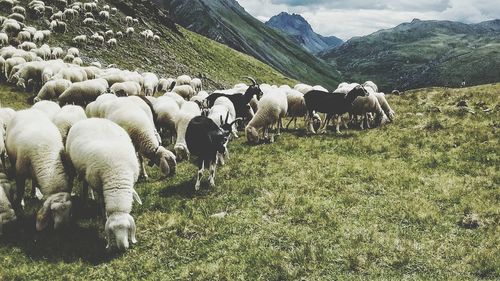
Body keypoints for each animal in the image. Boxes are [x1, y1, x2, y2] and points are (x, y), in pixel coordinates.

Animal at [65, 118, 141, 249]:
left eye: (128, 228)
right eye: (112, 231)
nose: (122, 247)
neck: (117, 174)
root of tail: (90, 119)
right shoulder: (99, 186)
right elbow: (102, 203)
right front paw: (103, 216)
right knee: (84, 185)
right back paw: (84, 201)